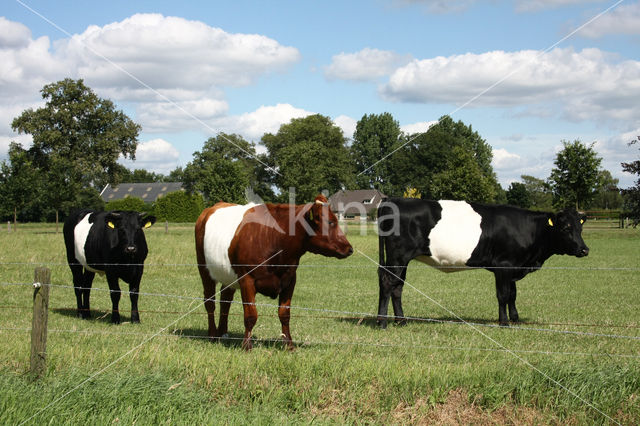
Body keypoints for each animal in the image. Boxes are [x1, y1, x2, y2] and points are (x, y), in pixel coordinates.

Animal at [195, 195, 356, 352]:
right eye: (331, 222)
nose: (349, 248)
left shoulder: (290, 279)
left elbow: (284, 314)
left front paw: (289, 345)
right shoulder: (247, 279)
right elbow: (250, 315)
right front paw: (246, 346)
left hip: (228, 276)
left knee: (225, 299)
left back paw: (223, 333)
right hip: (204, 269)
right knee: (210, 302)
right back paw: (212, 335)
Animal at [376, 198, 592, 328]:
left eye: (580, 228)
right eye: (565, 227)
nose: (584, 249)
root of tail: (392, 200)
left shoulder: (513, 266)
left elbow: (513, 294)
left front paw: (515, 319)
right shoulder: (504, 265)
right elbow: (503, 295)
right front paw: (504, 322)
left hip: (402, 260)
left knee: (397, 287)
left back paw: (401, 321)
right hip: (398, 257)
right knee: (388, 283)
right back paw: (382, 322)